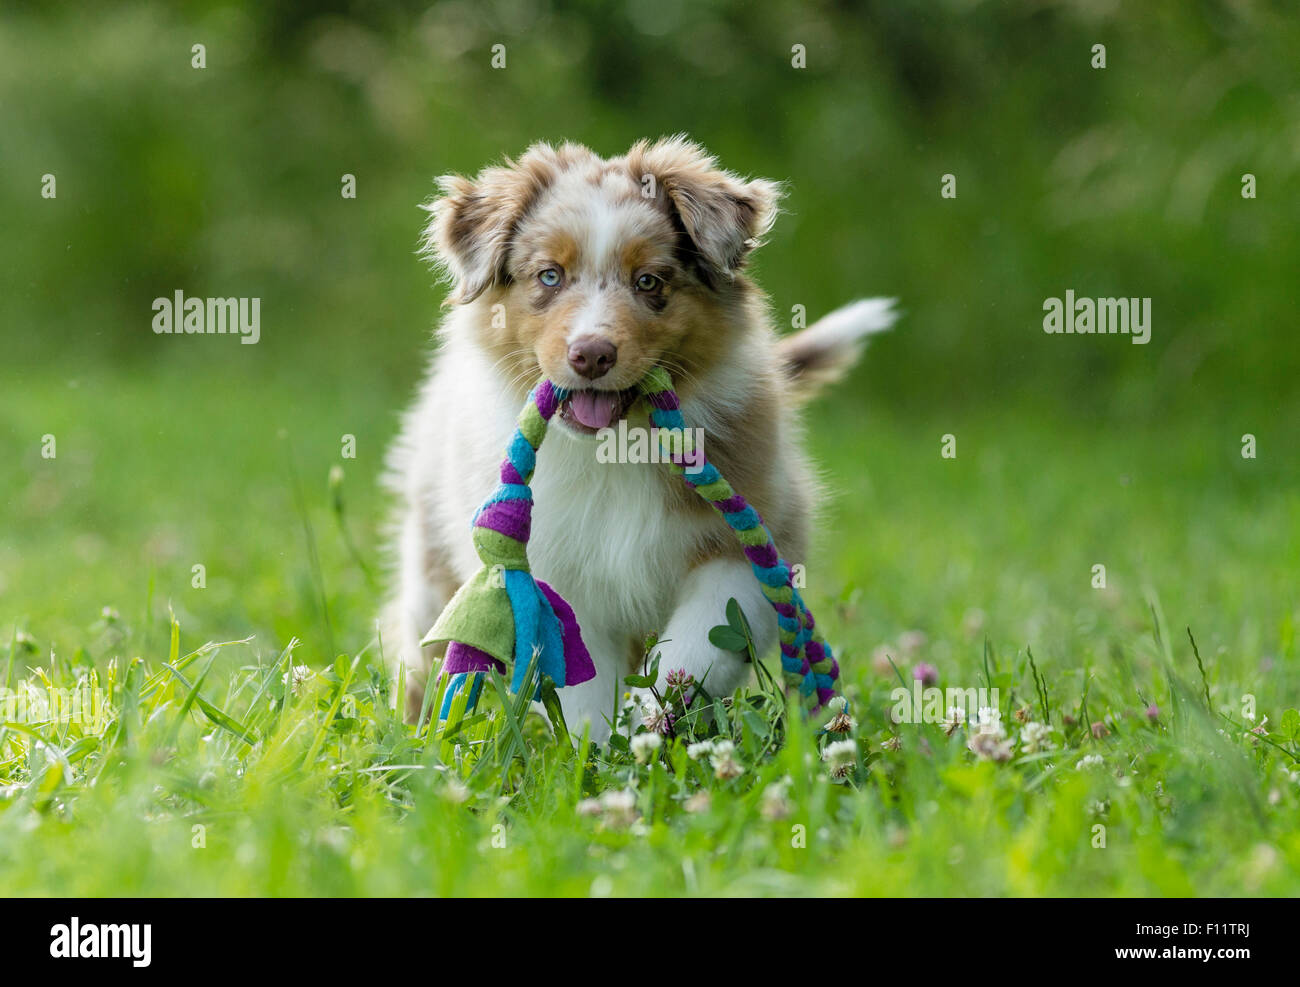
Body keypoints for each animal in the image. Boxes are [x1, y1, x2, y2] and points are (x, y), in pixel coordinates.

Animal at [379, 139, 899, 738]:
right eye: (549, 276)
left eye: (649, 282)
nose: (591, 354)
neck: (613, 449)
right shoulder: (556, 568)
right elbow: (582, 686)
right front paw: (595, 752)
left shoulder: (749, 547)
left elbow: (694, 649)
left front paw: (650, 725)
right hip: (429, 562)